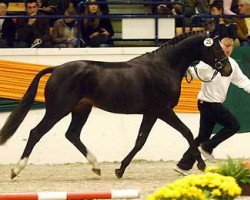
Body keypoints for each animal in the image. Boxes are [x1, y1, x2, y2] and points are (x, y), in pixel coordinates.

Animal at [0, 31, 231, 180]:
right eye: (217, 48)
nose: (228, 69)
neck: (164, 67)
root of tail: (56, 69)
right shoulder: (163, 111)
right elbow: (187, 132)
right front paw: (201, 164)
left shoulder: (151, 113)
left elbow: (140, 141)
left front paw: (120, 170)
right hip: (58, 110)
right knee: (35, 133)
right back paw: (16, 170)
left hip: (81, 109)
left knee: (72, 135)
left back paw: (96, 167)